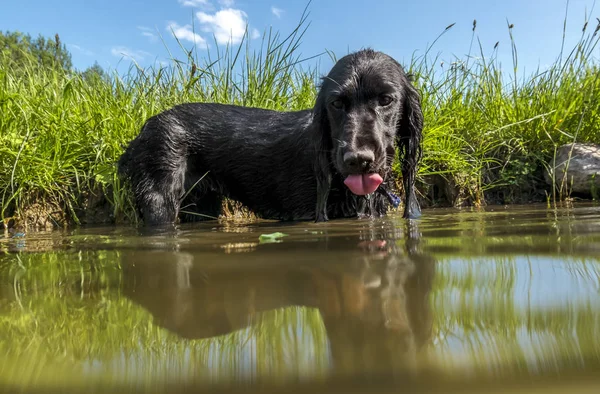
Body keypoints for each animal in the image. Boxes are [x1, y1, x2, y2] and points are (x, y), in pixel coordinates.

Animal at [117, 48, 424, 225]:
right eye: (336, 103)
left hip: (201, 206)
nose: (357, 159)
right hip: (160, 199)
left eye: (386, 99)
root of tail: (144, 129)